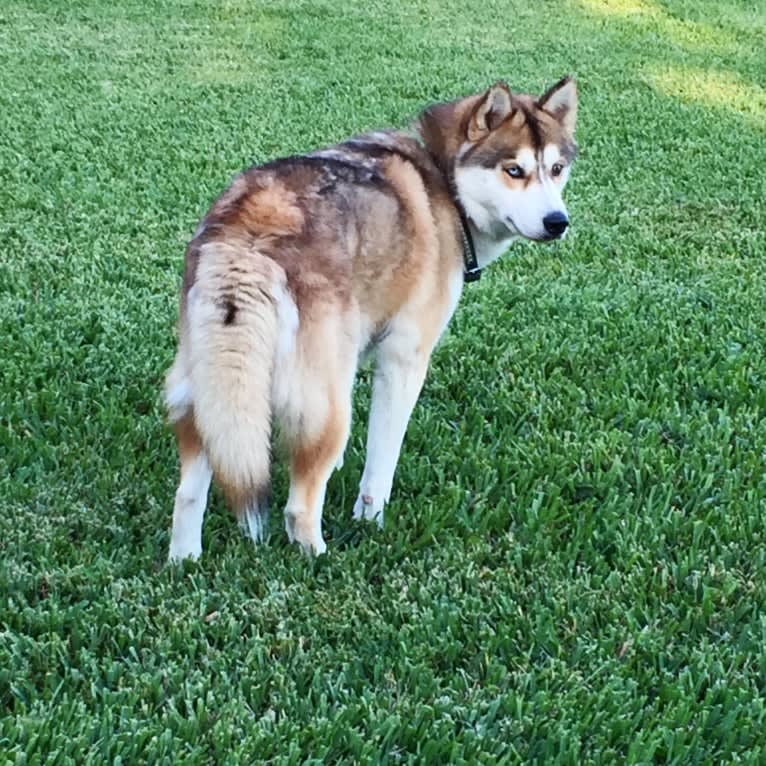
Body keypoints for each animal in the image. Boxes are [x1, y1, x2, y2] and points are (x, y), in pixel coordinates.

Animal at [165, 75, 580, 560]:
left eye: (556, 169)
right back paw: (322, 558)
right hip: (323, 403)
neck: (444, 182)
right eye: (514, 170)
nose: (557, 221)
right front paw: (370, 517)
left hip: (210, 390)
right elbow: (382, 459)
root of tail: (253, 221)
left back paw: (184, 560)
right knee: (298, 509)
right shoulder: (404, 359)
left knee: (189, 493)